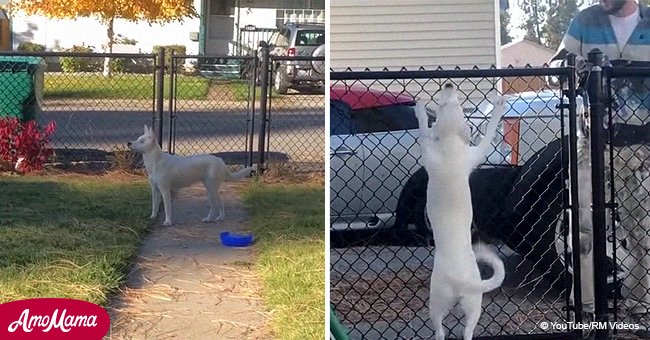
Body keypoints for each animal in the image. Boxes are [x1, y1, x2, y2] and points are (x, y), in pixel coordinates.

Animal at [126, 125, 256, 226]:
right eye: (138, 139)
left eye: (142, 141)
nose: (128, 143)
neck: (155, 161)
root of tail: (221, 161)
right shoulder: (155, 190)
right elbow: (154, 206)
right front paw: (152, 217)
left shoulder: (165, 190)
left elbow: (167, 208)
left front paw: (168, 222)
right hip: (213, 189)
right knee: (220, 203)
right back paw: (221, 218)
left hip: (210, 189)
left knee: (214, 206)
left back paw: (209, 219)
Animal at [416, 85, 506, 340]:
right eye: (452, 103)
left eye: (442, 105)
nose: (448, 85)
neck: (451, 144)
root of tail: (463, 283)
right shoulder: (475, 154)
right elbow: (488, 137)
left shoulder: (428, 153)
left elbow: (423, 133)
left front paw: (420, 110)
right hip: (474, 305)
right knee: (467, 331)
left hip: (436, 301)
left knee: (439, 330)